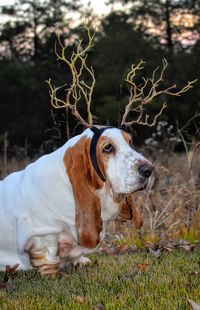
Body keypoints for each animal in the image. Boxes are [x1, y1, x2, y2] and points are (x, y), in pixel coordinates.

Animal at [0, 126, 153, 276]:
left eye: (130, 141)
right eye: (108, 147)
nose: (149, 170)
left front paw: (80, 261)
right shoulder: (43, 234)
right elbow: (49, 259)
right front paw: (54, 276)